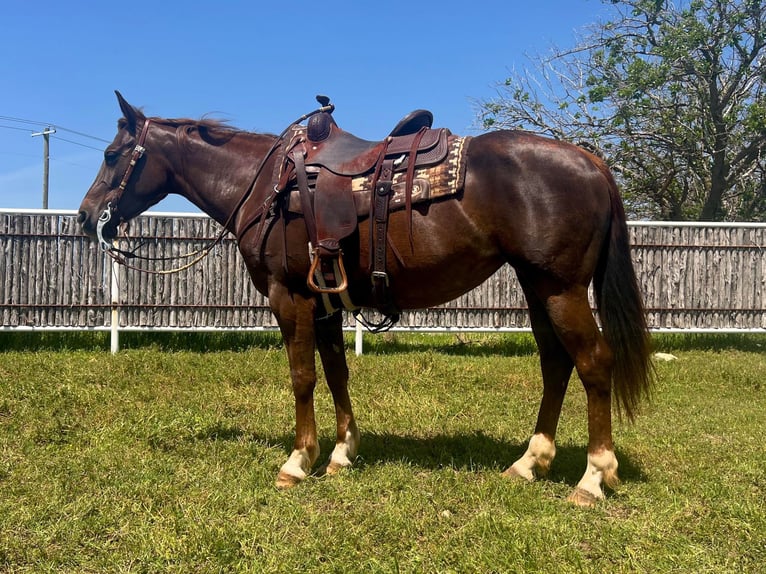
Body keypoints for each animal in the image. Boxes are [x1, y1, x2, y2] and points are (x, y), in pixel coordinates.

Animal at [78, 93, 656, 508]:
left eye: (111, 155)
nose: (86, 216)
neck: (264, 185)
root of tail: (592, 162)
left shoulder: (290, 297)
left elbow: (303, 376)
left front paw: (298, 461)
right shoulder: (325, 301)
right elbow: (337, 372)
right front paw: (342, 452)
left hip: (560, 289)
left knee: (592, 362)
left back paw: (592, 478)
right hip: (538, 288)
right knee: (556, 363)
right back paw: (529, 463)